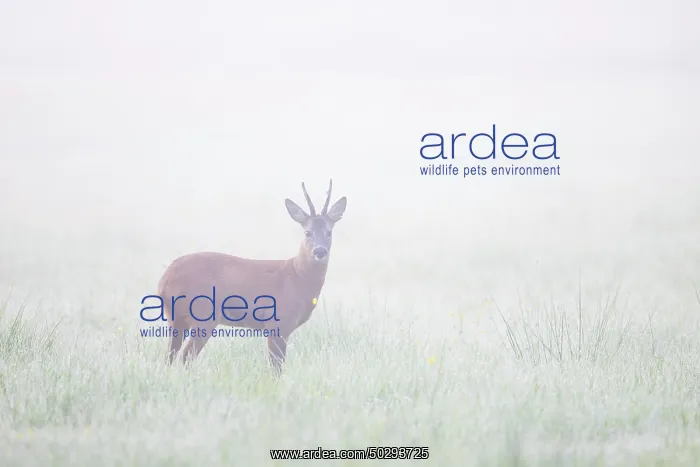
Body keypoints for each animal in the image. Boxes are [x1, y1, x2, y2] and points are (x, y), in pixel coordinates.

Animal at [156, 179, 347, 374]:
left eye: (329, 232)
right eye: (307, 232)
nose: (320, 251)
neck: (297, 277)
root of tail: (164, 280)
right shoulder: (278, 322)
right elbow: (276, 367)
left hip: (175, 318)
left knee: (170, 355)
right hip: (203, 313)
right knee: (186, 355)